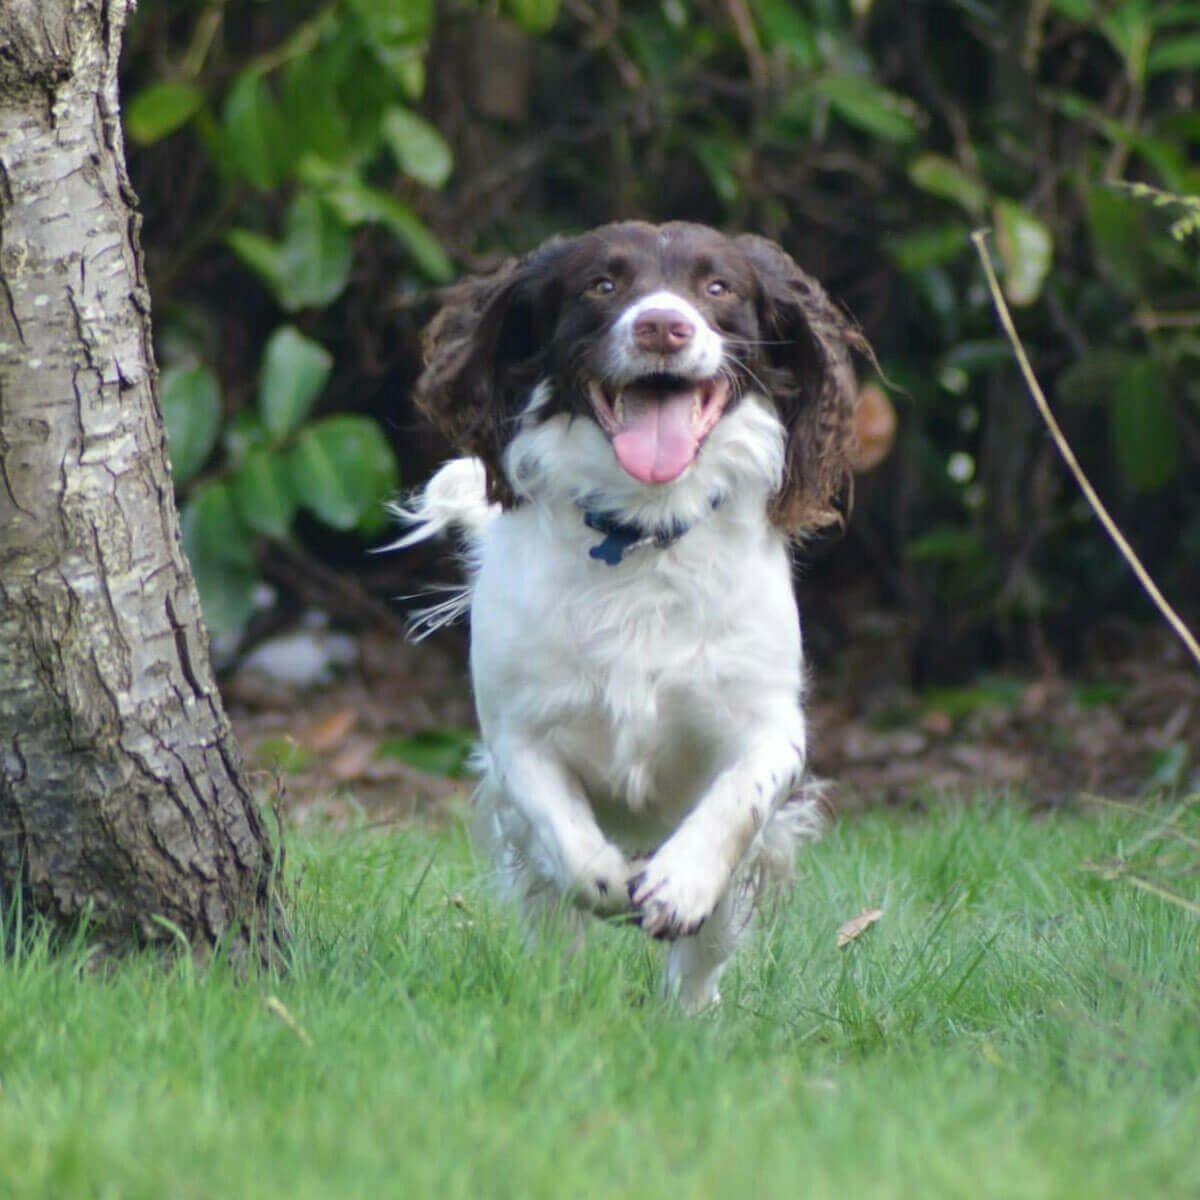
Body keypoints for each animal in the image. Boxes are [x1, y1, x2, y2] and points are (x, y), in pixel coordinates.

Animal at [393, 220, 873, 1008]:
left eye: (717, 287)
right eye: (603, 284)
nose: (662, 326)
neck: (645, 533)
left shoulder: (769, 727)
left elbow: (738, 798)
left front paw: (678, 884)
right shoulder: (516, 734)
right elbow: (563, 831)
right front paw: (609, 882)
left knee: (703, 956)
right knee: (551, 923)